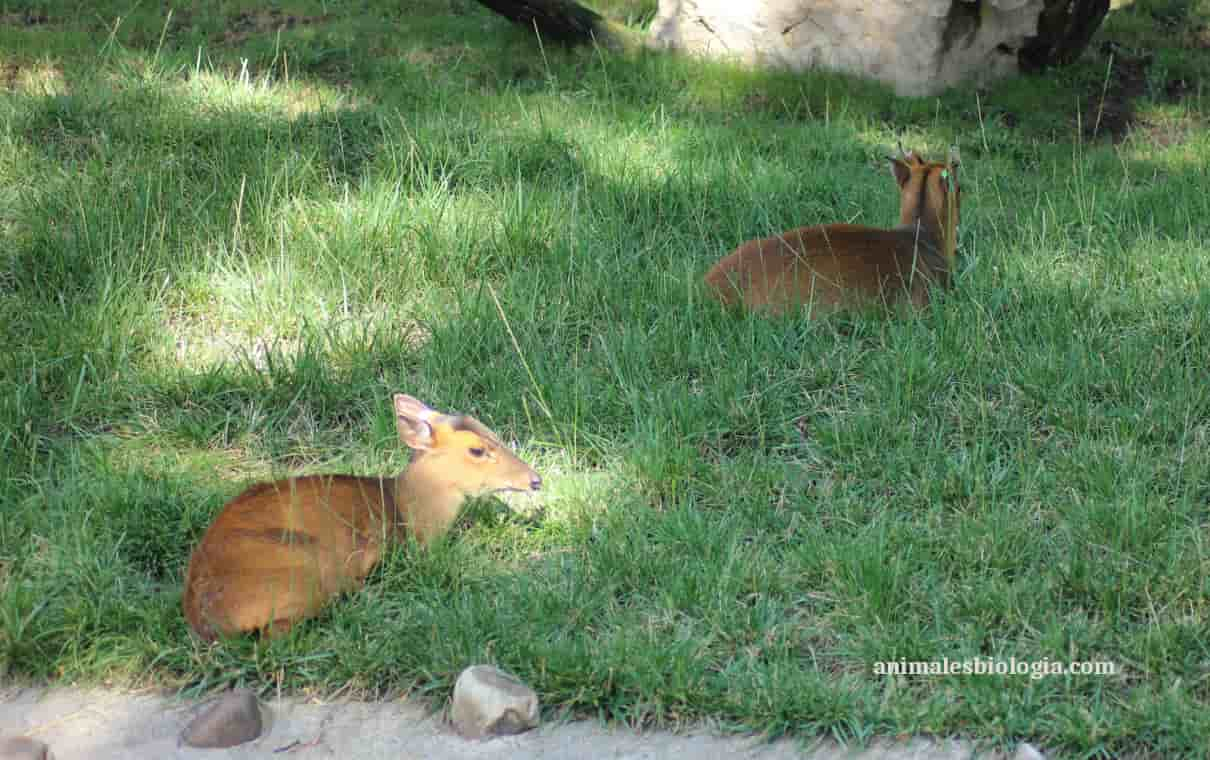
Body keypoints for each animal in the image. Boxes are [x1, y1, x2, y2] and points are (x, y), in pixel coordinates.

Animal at [181, 392, 542, 638]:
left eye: (492, 432)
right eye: (477, 450)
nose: (535, 480)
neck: (406, 509)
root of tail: (203, 615)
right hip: (303, 565)